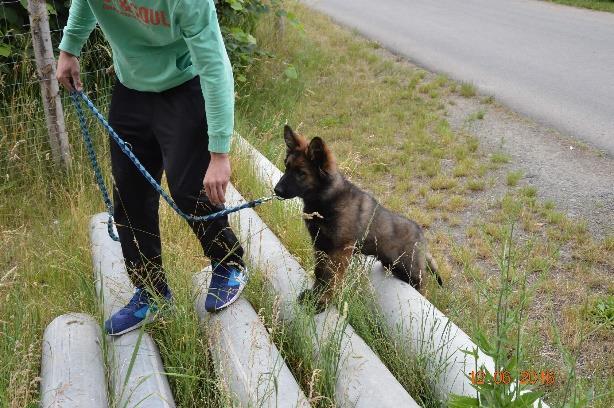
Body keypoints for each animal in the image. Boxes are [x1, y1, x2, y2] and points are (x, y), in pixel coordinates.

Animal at [274, 126, 442, 308]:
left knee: (423, 287)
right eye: (286, 166)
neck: (326, 200)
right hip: (394, 265)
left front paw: (323, 301)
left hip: (411, 270)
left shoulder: (340, 250)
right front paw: (314, 295)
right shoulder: (320, 245)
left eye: (301, 173)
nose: (276, 190)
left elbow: (331, 277)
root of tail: (421, 234)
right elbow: (320, 273)